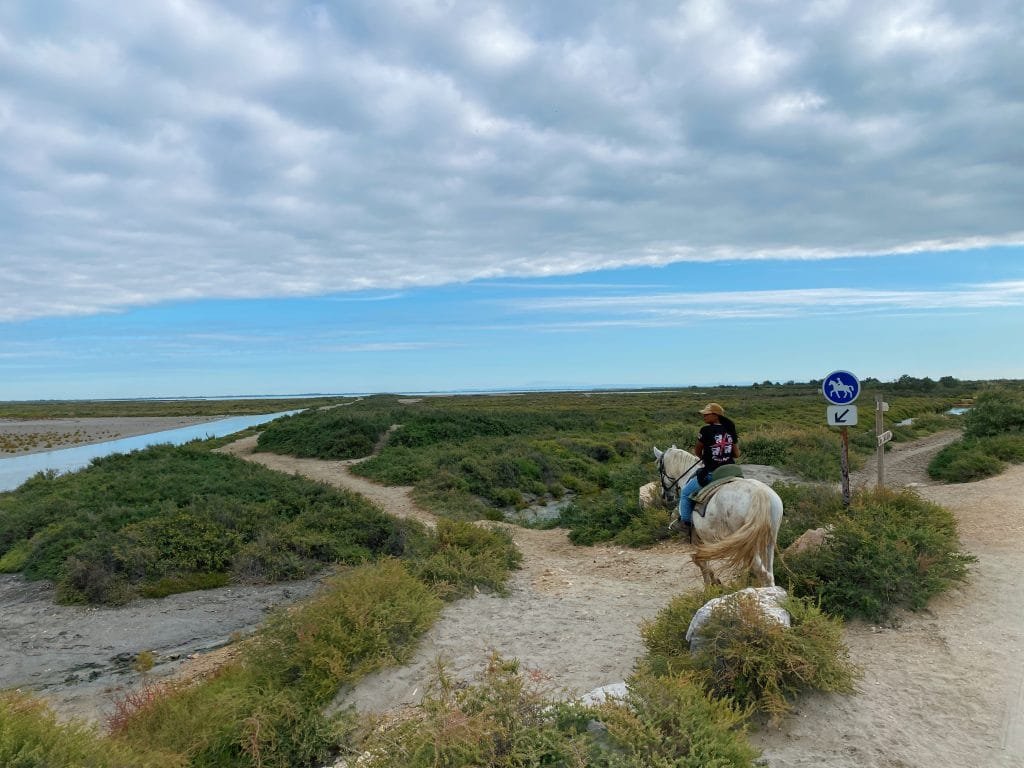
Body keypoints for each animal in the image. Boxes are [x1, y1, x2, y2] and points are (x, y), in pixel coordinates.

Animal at [647, 448, 782, 585]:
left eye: (659, 469)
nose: (665, 496)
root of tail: (759, 494)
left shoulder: (696, 538)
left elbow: (701, 562)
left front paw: (710, 585)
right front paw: (715, 581)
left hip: (747, 545)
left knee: (762, 573)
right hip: (768, 541)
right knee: (769, 574)